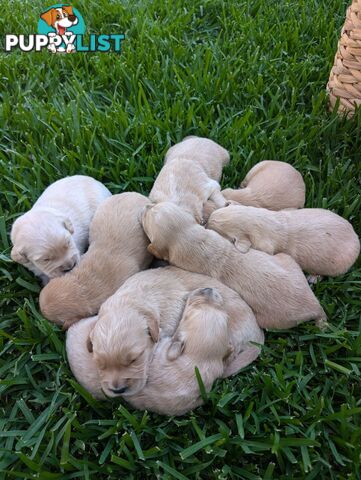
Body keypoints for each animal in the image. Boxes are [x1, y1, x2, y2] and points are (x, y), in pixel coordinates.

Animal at [141, 202, 326, 330]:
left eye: (147, 218)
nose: (146, 205)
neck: (192, 239)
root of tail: (314, 306)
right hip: (288, 261)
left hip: (270, 320)